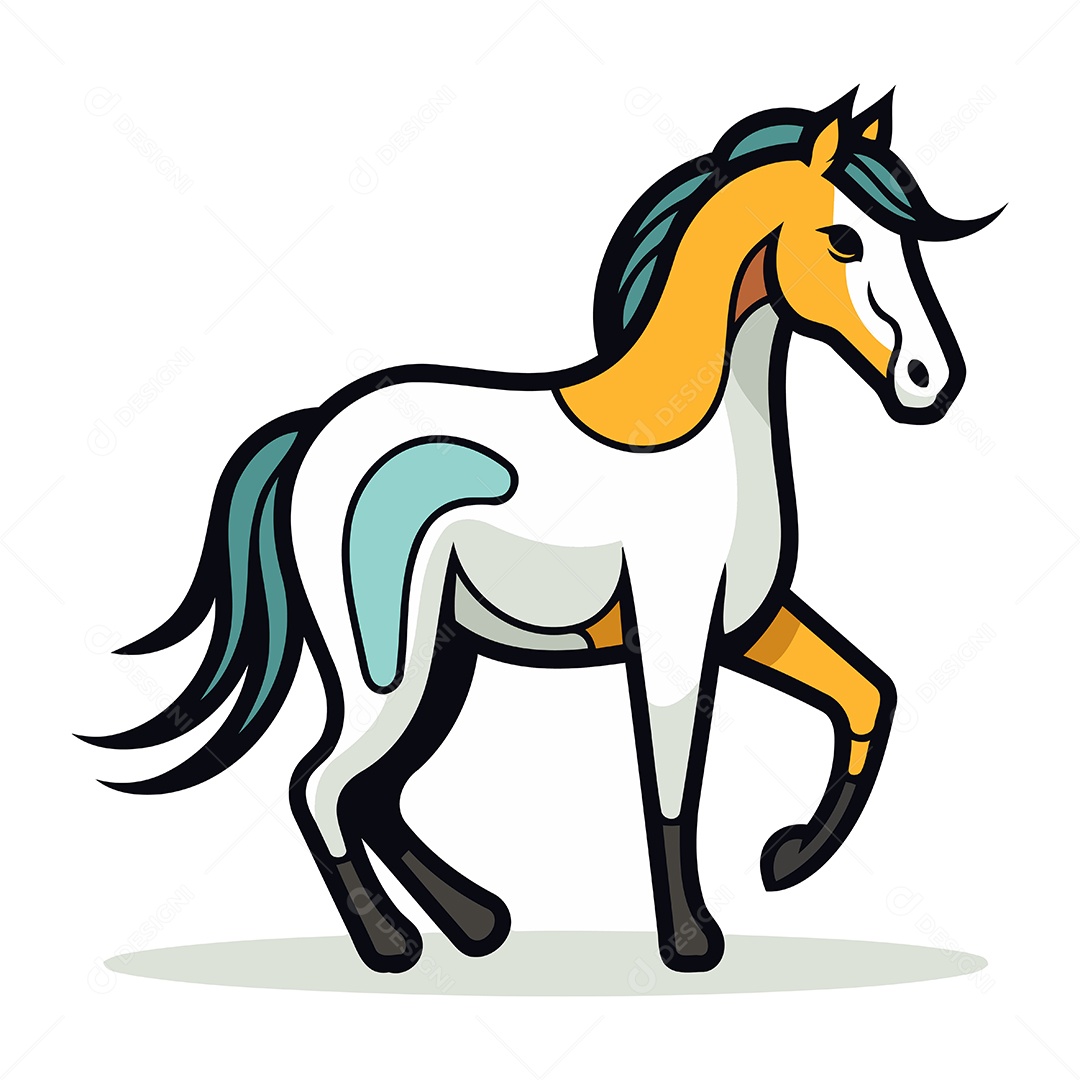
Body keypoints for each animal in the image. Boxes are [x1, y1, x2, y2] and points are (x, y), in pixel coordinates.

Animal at [81, 88, 999, 974]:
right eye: (843, 238)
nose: (931, 380)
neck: (697, 432)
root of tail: (309, 436)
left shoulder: (746, 620)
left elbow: (867, 695)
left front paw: (789, 859)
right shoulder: (674, 636)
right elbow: (672, 781)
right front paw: (692, 943)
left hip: (444, 654)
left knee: (369, 789)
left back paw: (477, 923)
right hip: (386, 663)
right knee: (321, 783)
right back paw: (394, 946)